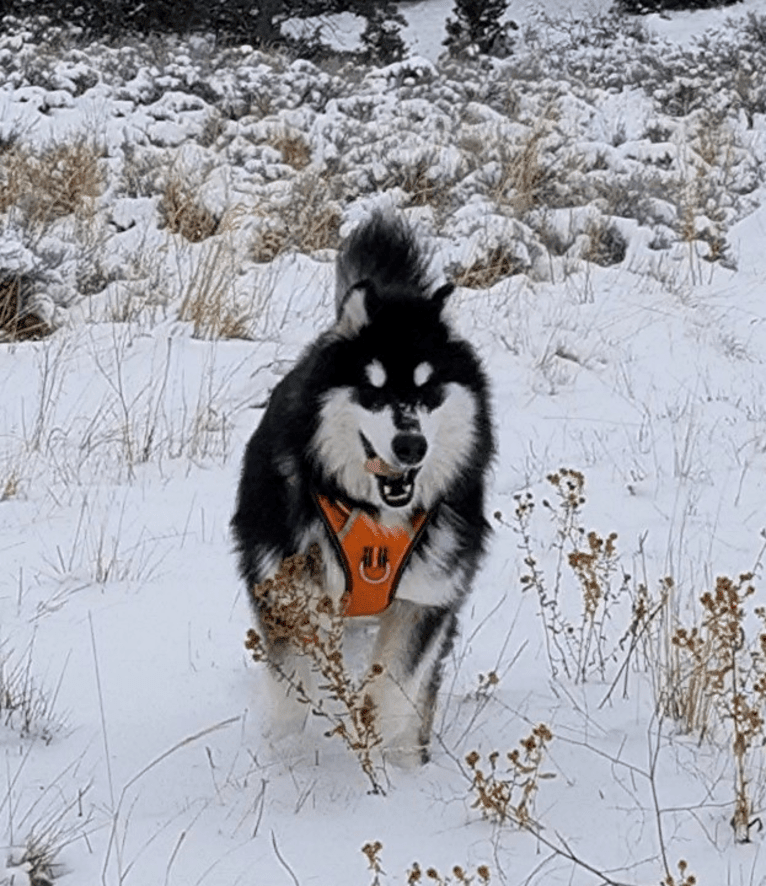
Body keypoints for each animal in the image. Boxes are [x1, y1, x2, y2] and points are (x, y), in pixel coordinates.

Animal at [231, 212, 496, 768]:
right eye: (371, 390)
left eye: (428, 389)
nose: (411, 445)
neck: (372, 513)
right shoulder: (285, 588)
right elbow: (293, 689)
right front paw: (287, 761)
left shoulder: (428, 596)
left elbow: (396, 685)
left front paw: (388, 754)